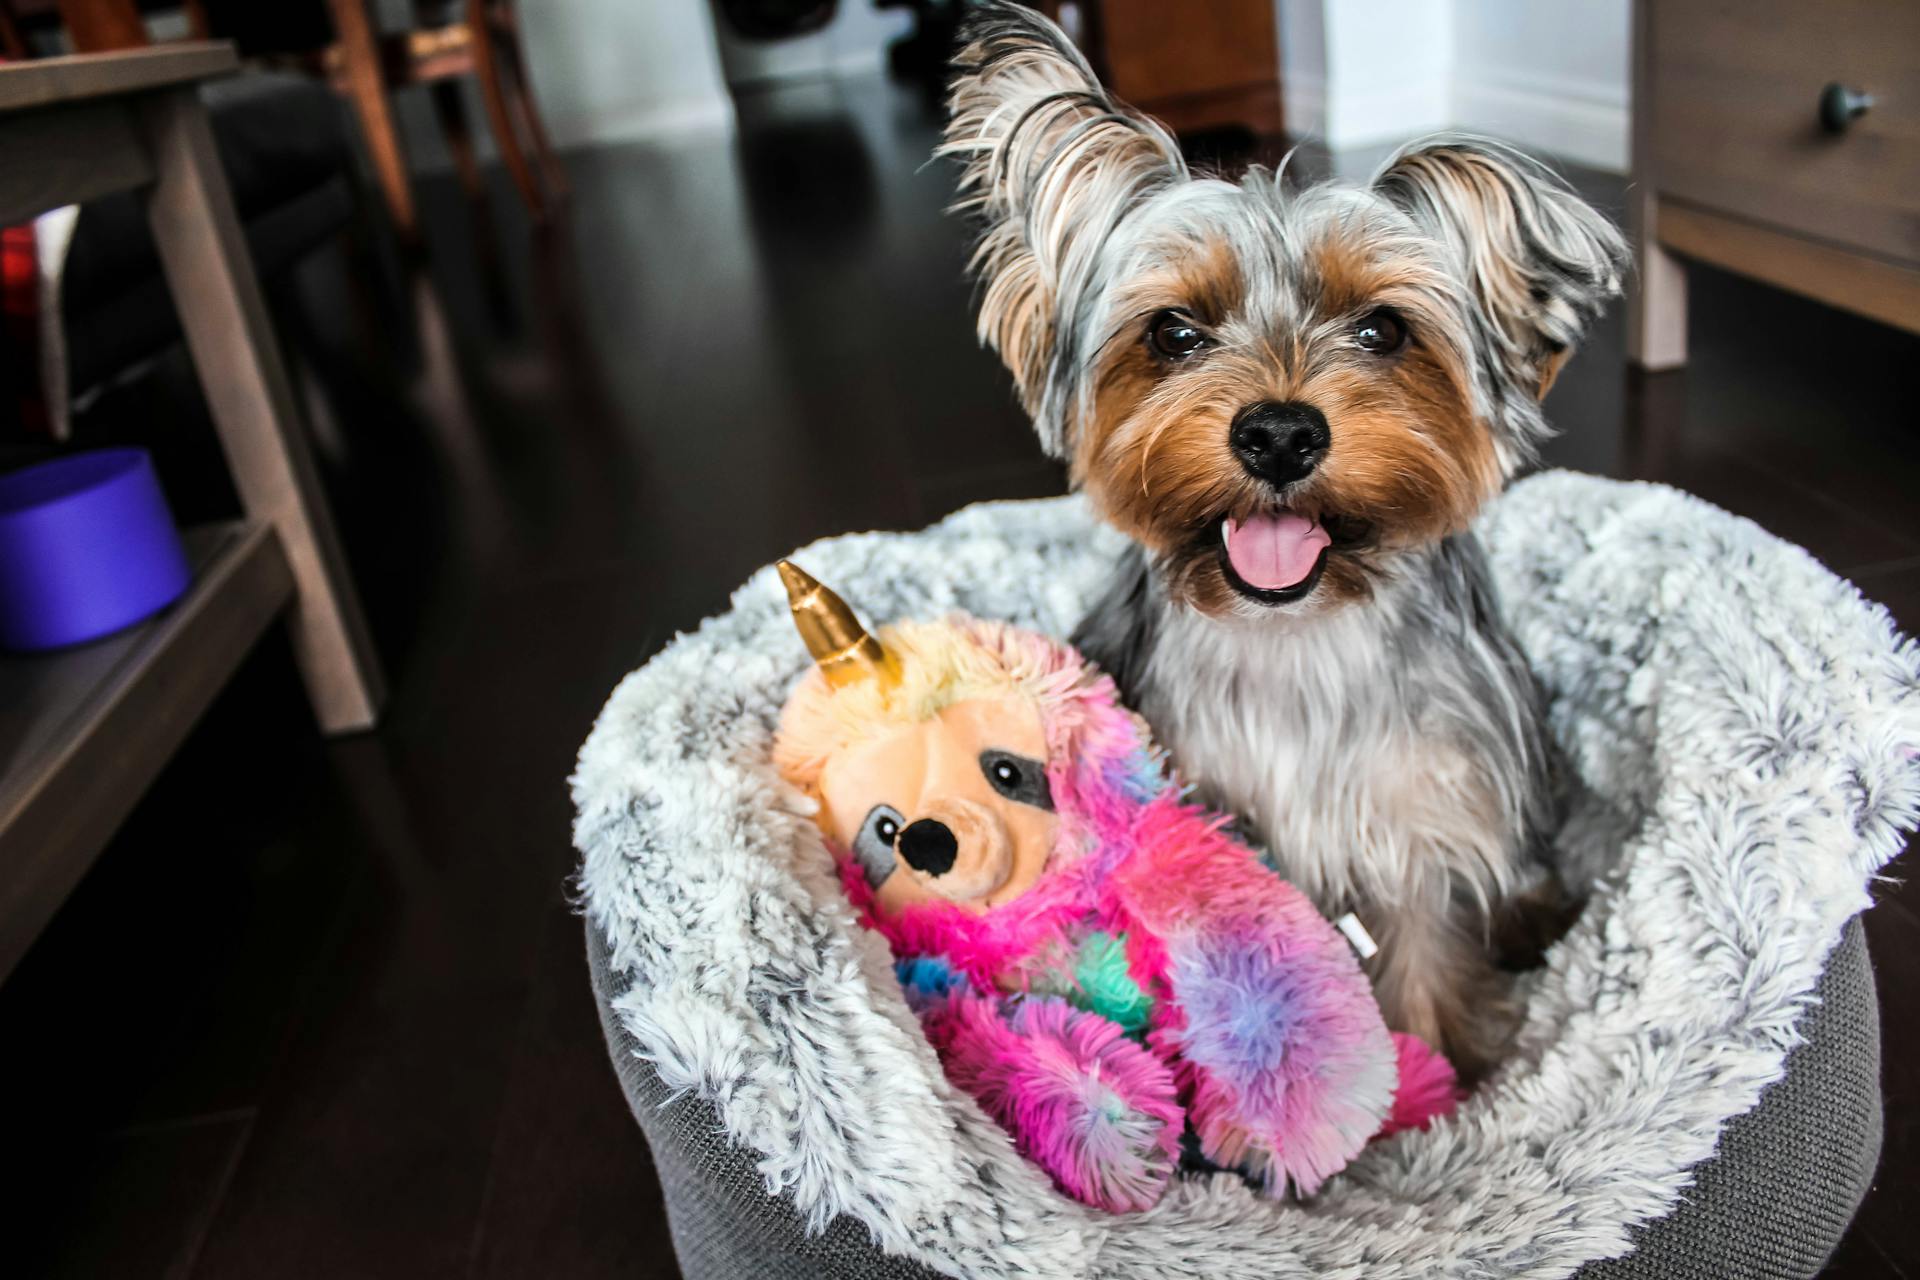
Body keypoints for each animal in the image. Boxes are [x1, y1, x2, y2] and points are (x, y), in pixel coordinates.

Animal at [940, 2, 1620, 1082]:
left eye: (1384, 329)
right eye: (1174, 333)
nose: (1280, 433)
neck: (1297, 628)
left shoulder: (1425, 822)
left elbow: (1426, 964)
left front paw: (1426, 1086)